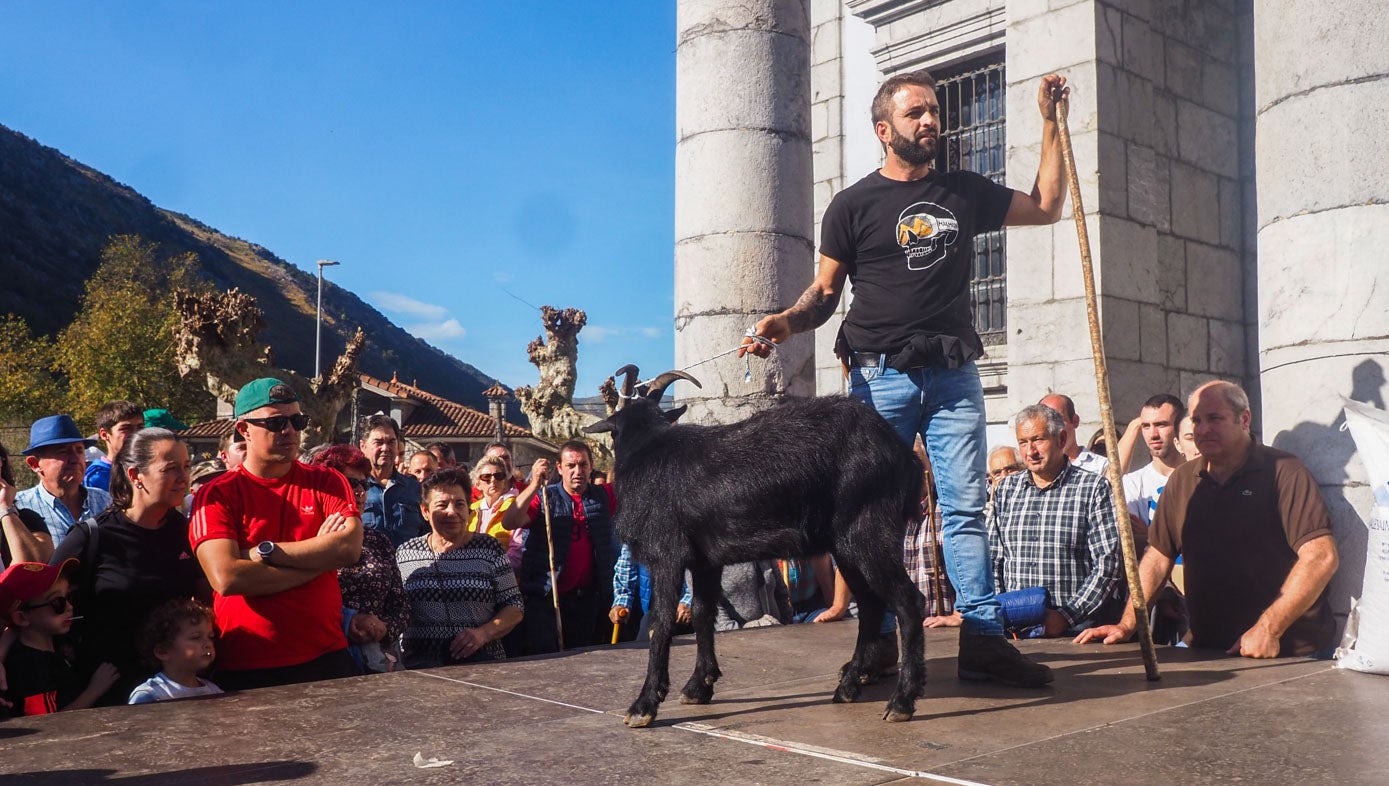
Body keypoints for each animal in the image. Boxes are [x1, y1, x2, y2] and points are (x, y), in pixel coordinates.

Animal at [580, 366, 927, 727]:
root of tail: (903, 455)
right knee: (872, 607)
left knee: (908, 602)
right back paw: (847, 687)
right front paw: (699, 685)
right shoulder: (705, 560)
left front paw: (644, 705)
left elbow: (660, 622)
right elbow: (703, 612)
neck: (647, 450)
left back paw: (902, 700)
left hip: (866, 529)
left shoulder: (666, 554)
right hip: (846, 546)